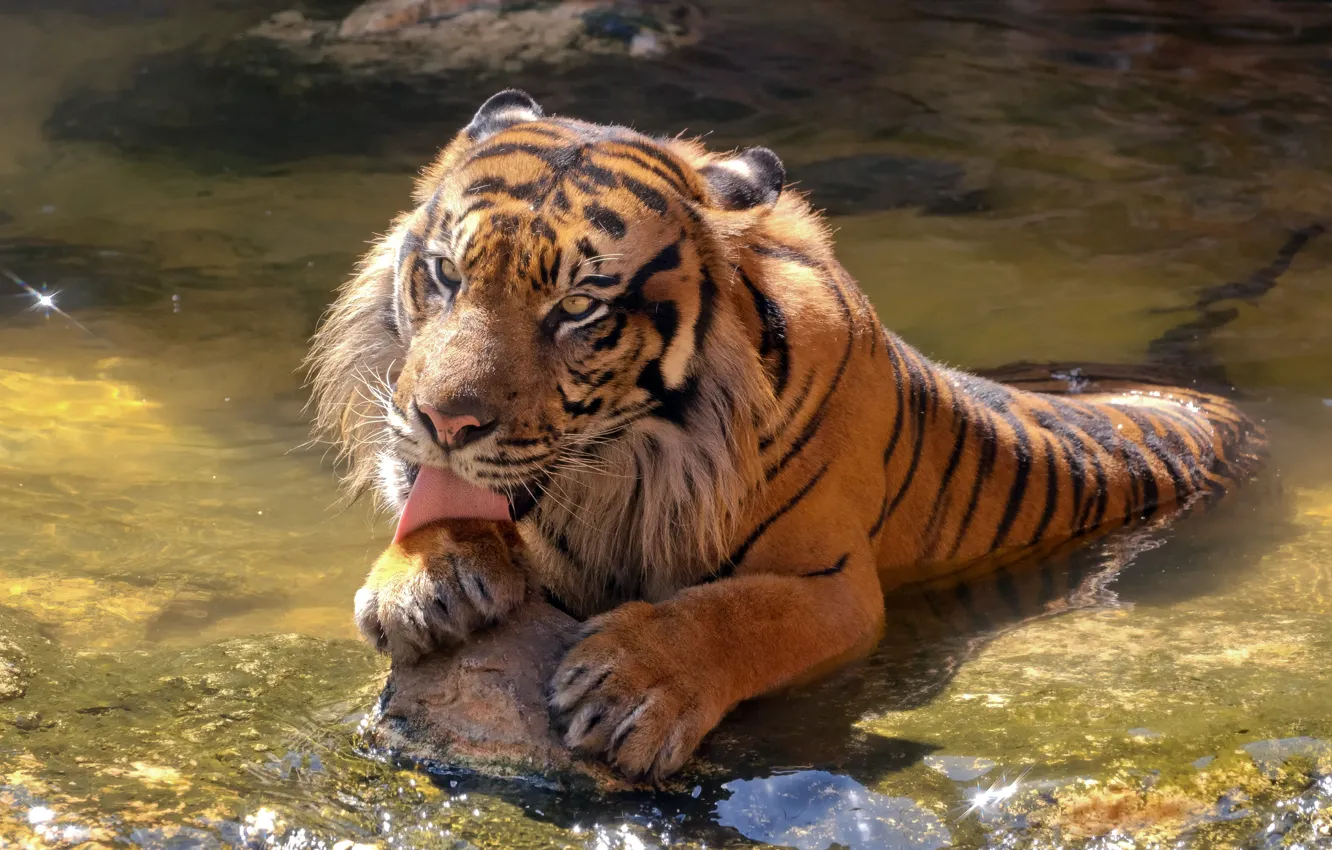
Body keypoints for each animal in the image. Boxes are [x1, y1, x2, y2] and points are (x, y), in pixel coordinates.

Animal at [307, 89, 1267, 781]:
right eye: (446, 274)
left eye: (577, 308)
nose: (442, 420)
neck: (624, 469)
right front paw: (426, 579)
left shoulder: (837, 584)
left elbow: (738, 613)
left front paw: (630, 687)